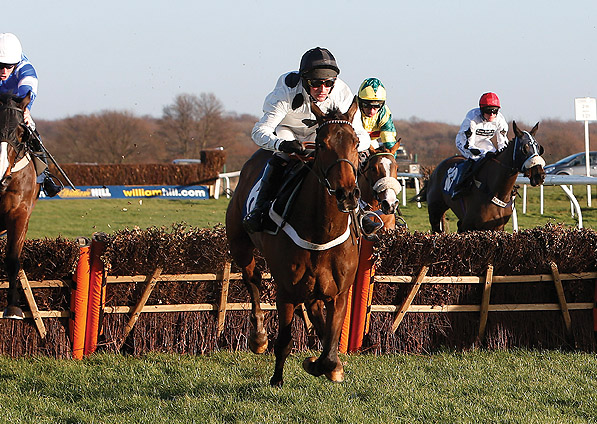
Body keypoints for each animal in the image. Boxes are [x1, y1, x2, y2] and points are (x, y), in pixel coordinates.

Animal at [226, 97, 360, 388]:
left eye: (356, 142)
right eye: (322, 144)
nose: (346, 194)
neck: (321, 233)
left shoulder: (340, 293)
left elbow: (330, 349)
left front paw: (327, 365)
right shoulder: (285, 291)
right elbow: (285, 341)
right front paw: (278, 378)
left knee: (314, 308)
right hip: (240, 246)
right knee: (252, 279)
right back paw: (259, 337)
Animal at [414, 120, 544, 232]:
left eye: (538, 148)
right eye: (524, 148)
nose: (540, 175)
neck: (495, 191)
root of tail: (435, 170)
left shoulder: (498, 227)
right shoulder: (469, 226)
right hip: (435, 213)